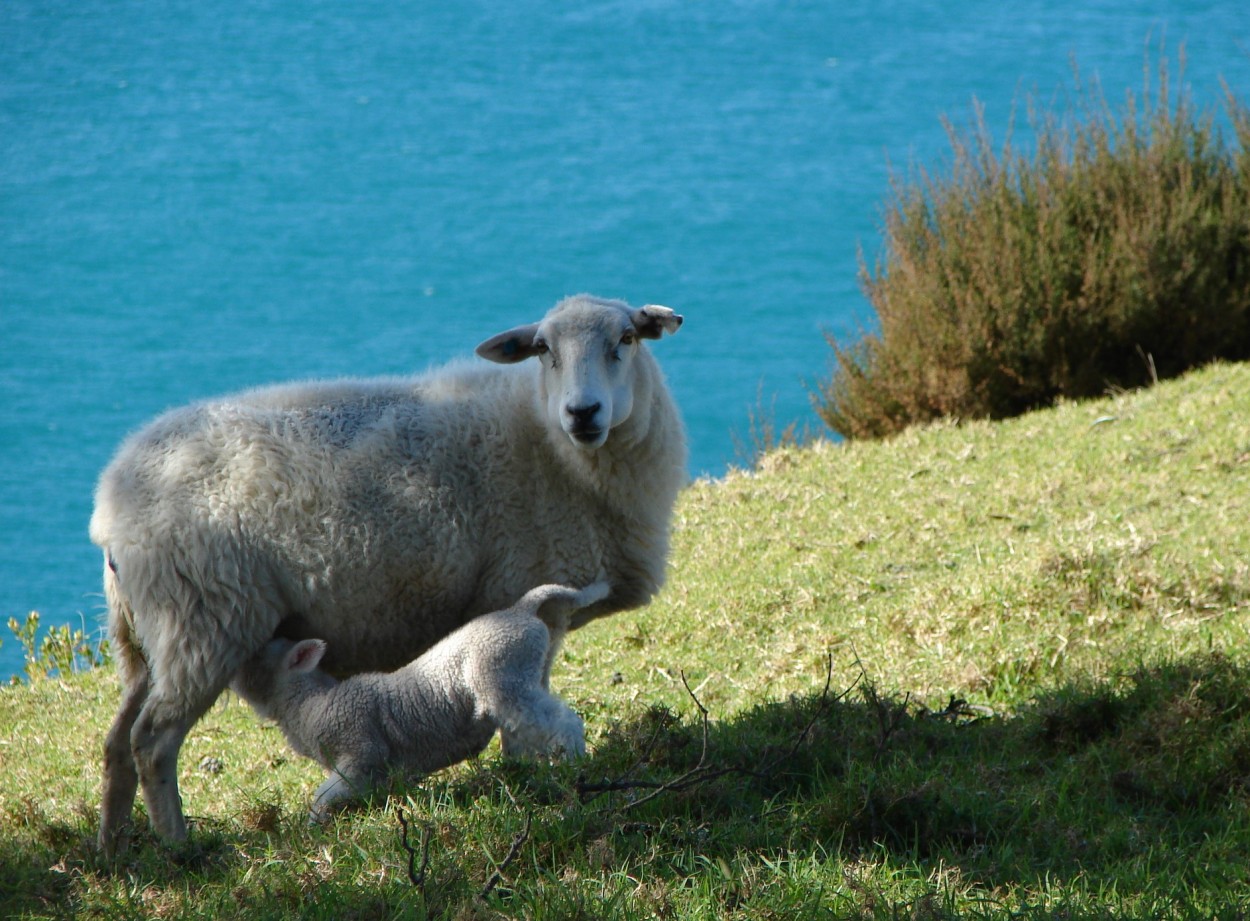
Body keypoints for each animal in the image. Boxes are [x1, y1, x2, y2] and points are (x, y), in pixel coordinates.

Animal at [233, 577, 610, 824]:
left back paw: (573, 760)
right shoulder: (368, 768)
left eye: (258, 655)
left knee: (559, 720)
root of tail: (522, 609)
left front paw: (314, 825)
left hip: (504, 677)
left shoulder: (361, 749)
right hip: (530, 670)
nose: (233, 669)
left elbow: (324, 796)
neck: (307, 705)